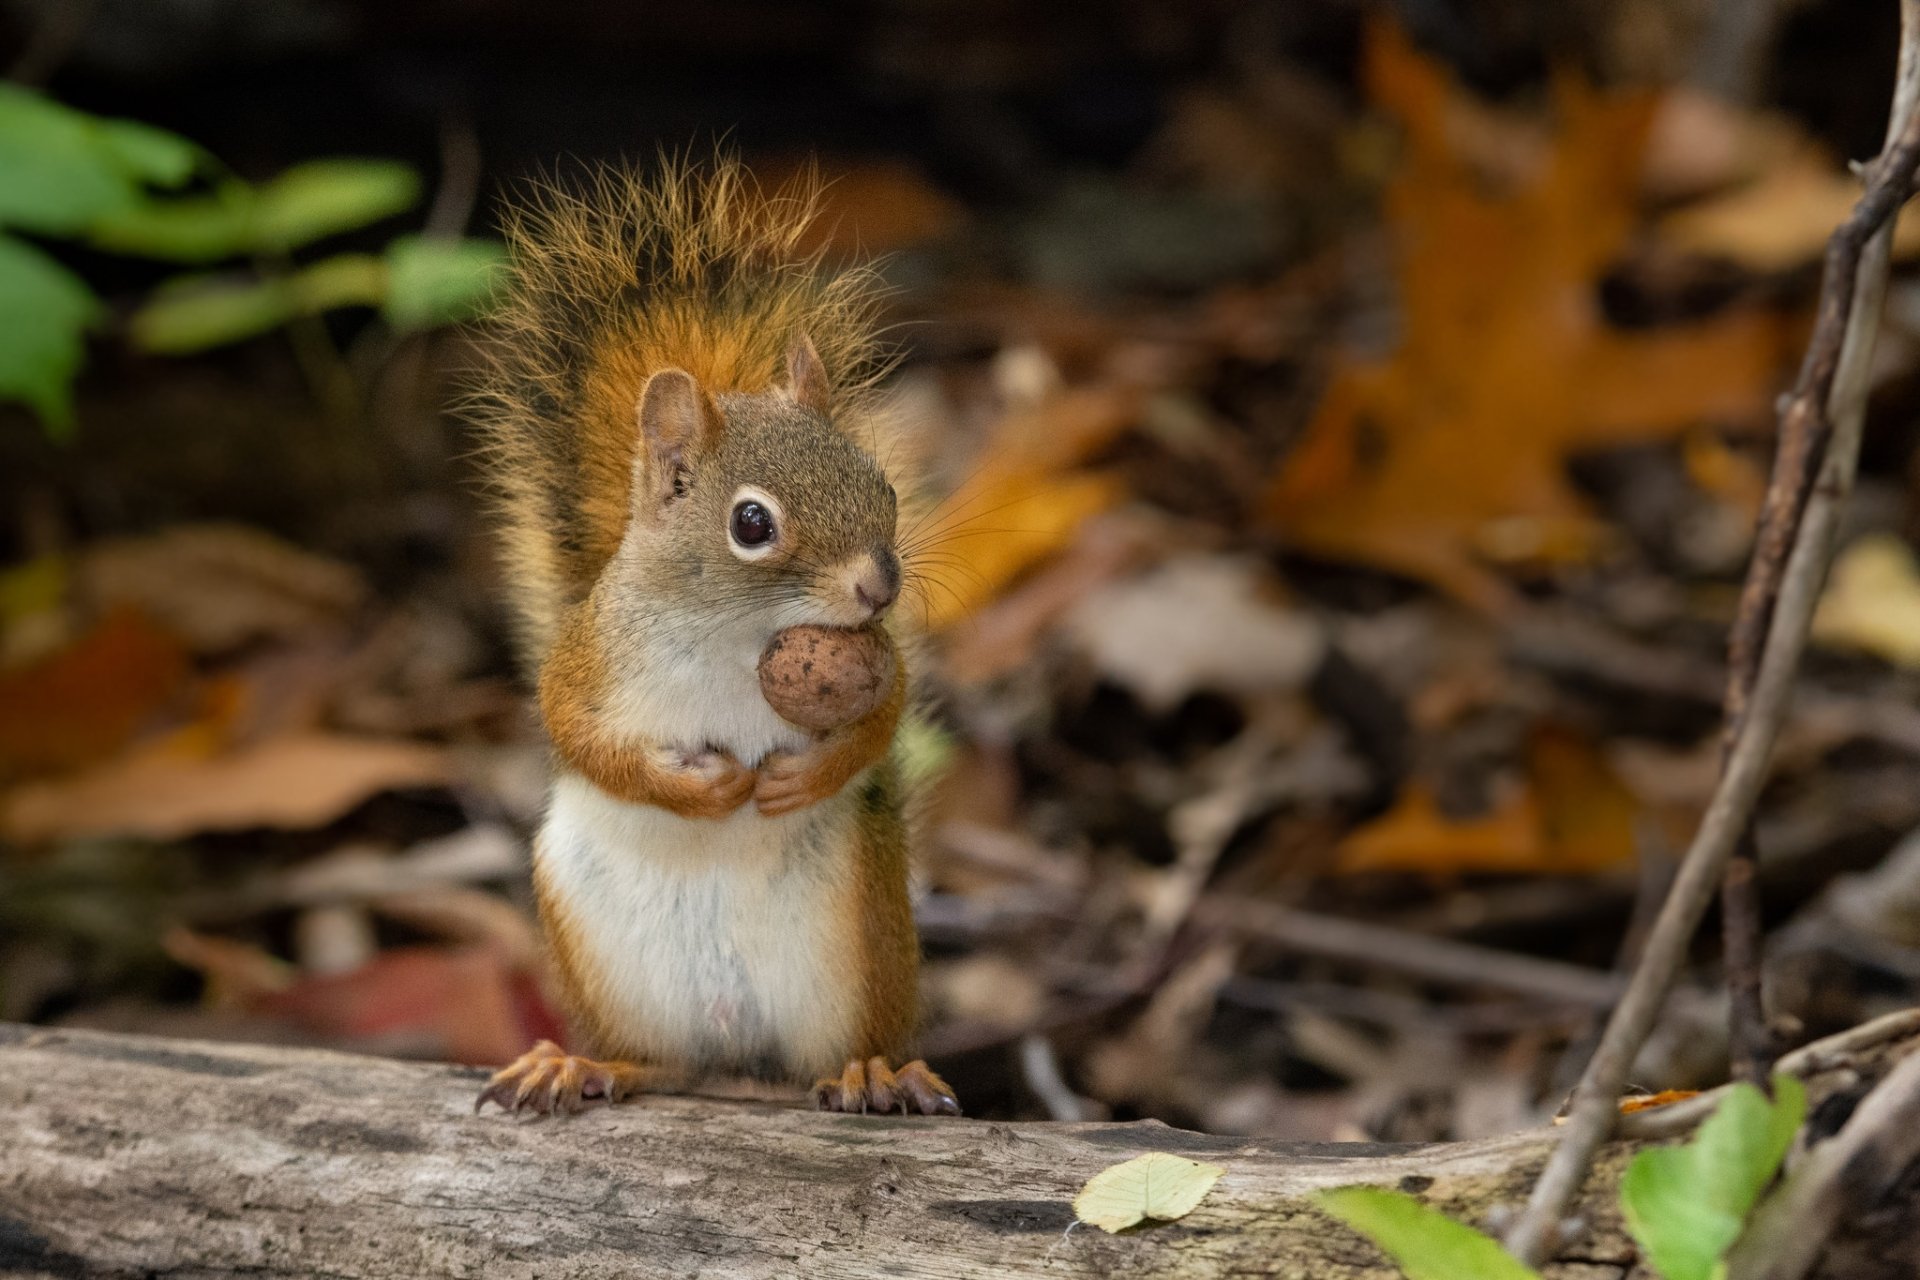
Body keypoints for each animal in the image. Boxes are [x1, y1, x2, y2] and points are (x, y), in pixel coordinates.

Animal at [469, 158, 959, 1118]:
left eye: (879, 482)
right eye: (751, 523)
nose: (879, 587)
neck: (736, 637)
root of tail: (744, 1069)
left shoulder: (882, 659)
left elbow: (882, 721)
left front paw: (802, 776)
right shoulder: (590, 657)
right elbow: (575, 733)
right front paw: (704, 789)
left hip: (860, 930)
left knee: (835, 1053)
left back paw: (873, 1073)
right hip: (602, 944)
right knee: (663, 1064)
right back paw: (582, 1065)